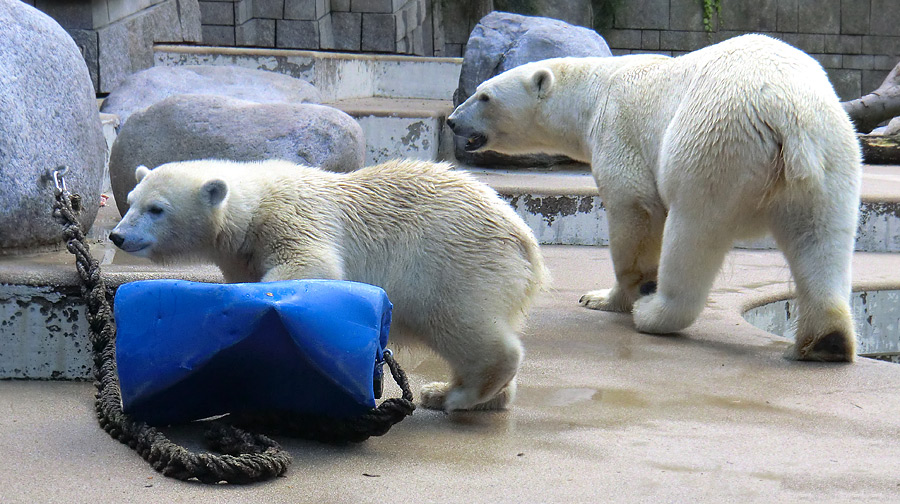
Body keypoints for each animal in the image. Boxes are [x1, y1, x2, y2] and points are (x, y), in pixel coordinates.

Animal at [454, 33, 860, 360]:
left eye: (484, 95)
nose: (453, 121)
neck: (593, 94)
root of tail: (786, 113)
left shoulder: (619, 130)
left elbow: (635, 211)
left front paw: (604, 297)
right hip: (831, 159)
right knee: (821, 240)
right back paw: (827, 341)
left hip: (713, 144)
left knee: (693, 233)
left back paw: (653, 312)